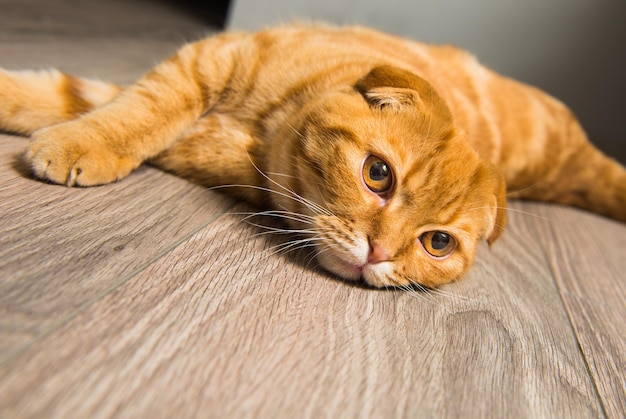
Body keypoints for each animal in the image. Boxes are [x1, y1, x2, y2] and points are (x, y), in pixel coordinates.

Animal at [0, 25, 620, 288]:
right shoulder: (210, 61)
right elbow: (141, 107)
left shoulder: (205, 135)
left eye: (438, 243)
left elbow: (111, 105)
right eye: (378, 174)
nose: (378, 254)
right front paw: (74, 135)